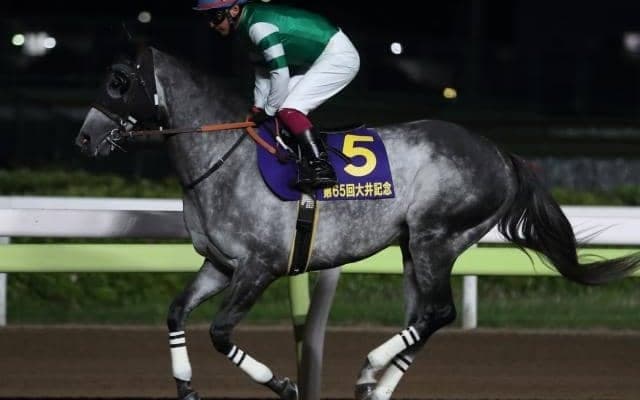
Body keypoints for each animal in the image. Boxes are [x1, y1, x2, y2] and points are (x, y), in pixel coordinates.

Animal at [75, 46, 640, 400]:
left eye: (119, 81)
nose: (84, 138)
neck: (224, 158)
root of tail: (503, 155)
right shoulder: (219, 264)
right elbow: (176, 313)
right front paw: (186, 385)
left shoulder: (260, 267)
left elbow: (218, 331)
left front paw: (287, 384)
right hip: (416, 248)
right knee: (425, 316)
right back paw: (377, 384)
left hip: (437, 237)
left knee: (439, 312)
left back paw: (371, 368)